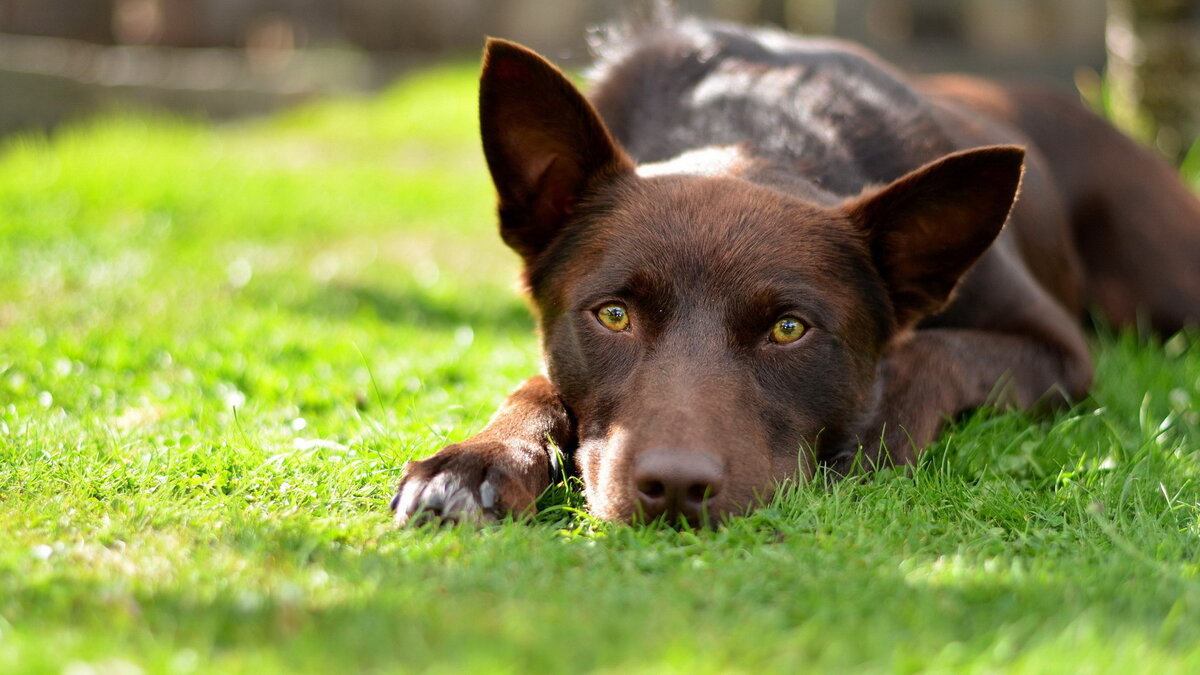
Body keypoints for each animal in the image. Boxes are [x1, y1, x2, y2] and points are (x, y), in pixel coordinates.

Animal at [391, 14, 1200, 521]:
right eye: (613, 315)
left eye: (789, 329)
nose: (674, 487)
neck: (758, 128)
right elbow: (536, 385)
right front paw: (476, 460)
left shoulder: (1060, 351)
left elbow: (934, 352)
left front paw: (875, 430)